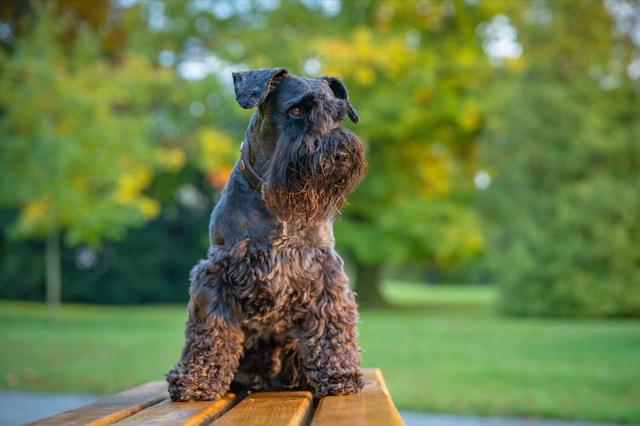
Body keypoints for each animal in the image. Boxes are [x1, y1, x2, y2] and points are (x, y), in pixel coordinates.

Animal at [168, 68, 368, 402]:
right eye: (297, 110)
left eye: (338, 115)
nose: (340, 153)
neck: (279, 211)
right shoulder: (215, 274)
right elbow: (211, 328)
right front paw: (197, 379)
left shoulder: (325, 272)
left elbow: (331, 323)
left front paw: (339, 373)